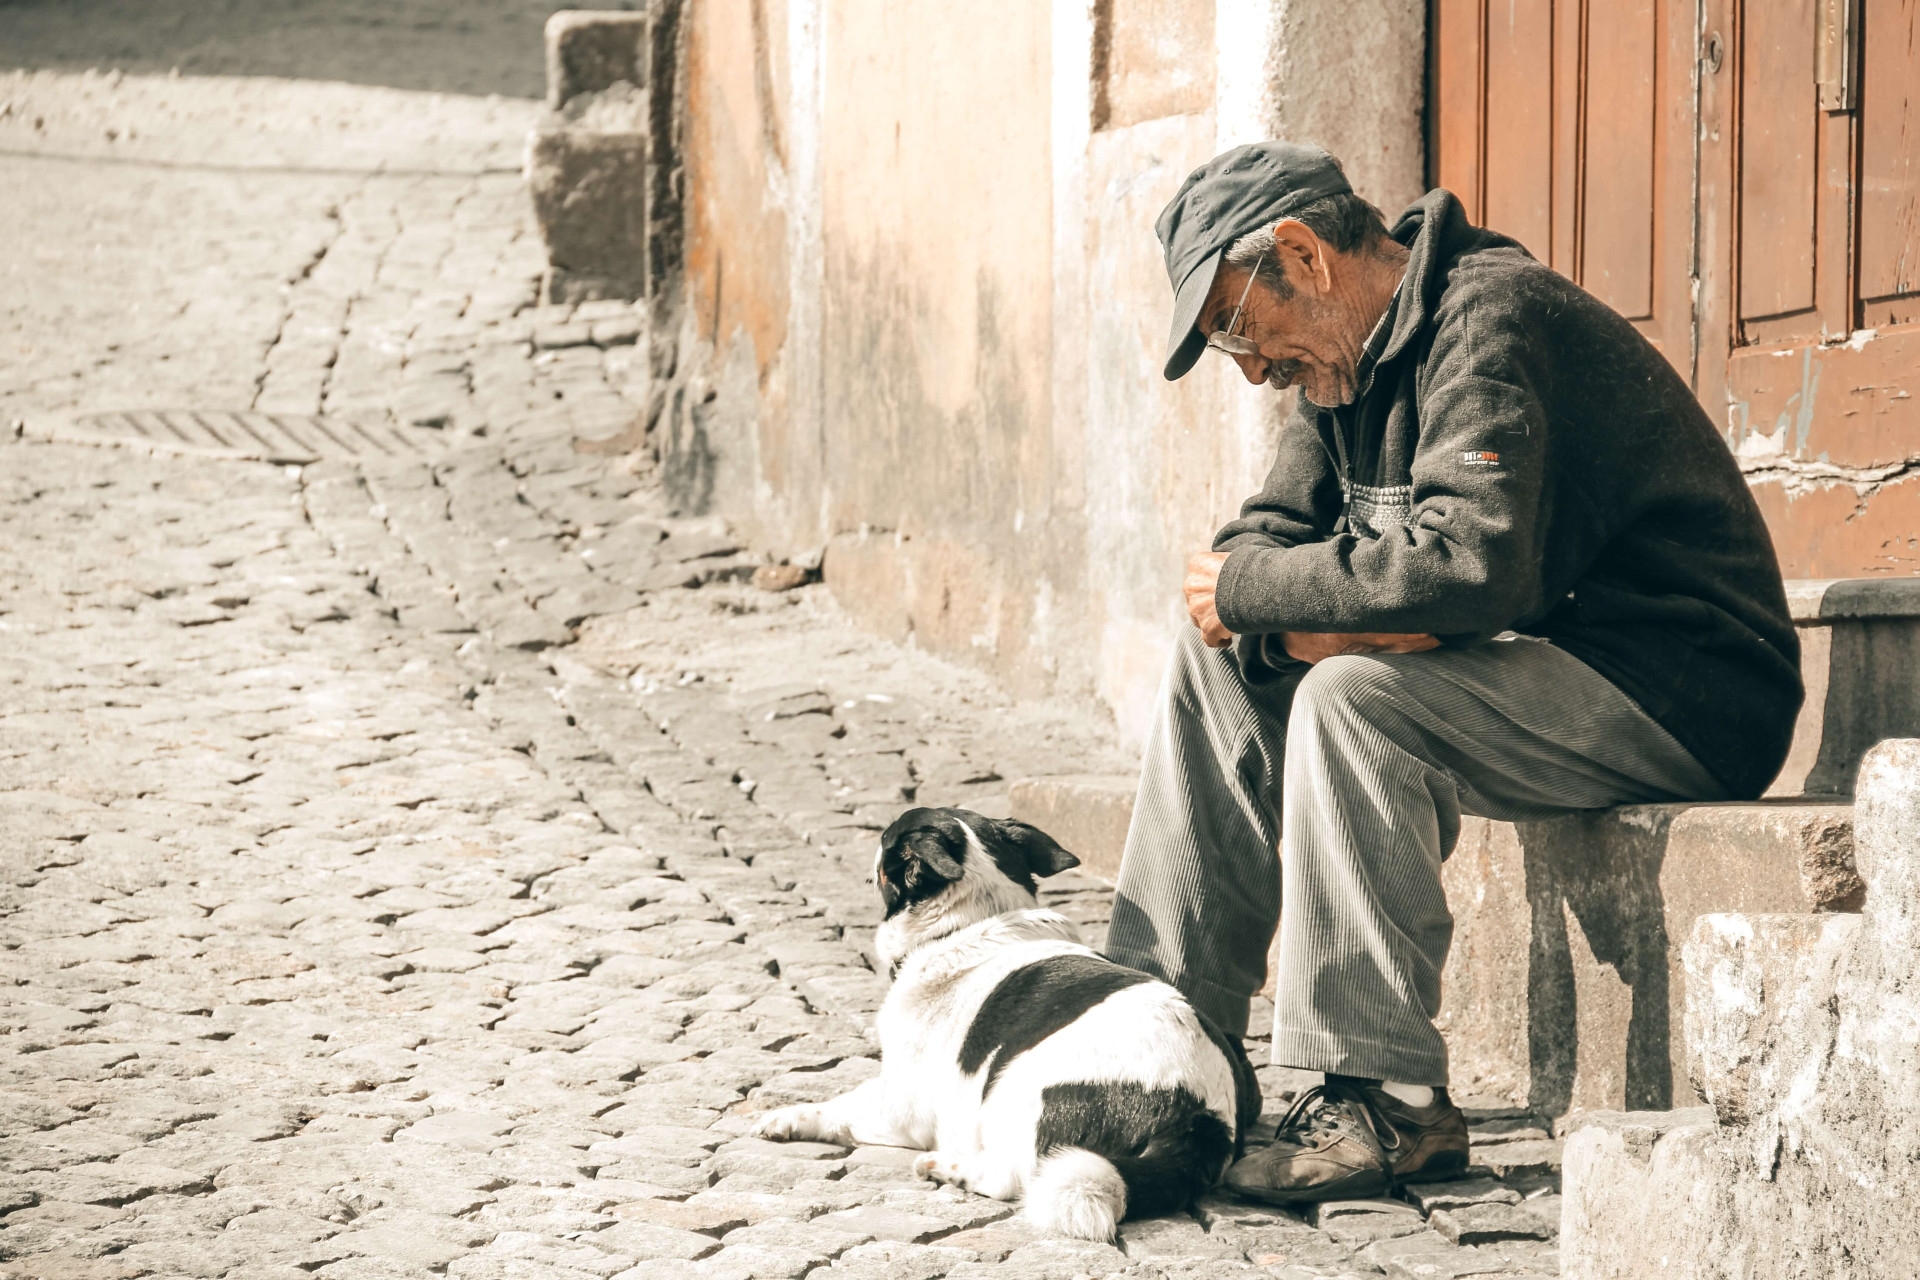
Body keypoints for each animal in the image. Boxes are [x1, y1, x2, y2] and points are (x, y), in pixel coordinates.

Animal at [741, 809, 1251, 1243]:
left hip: (1015, 1092)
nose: (874, 845)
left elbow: (838, 1109)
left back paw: (947, 1168)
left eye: (887, 840)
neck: (967, 924)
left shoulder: (901, 1105)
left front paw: (785, 1118)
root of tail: (1200, 1118)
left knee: (1012, 1177)